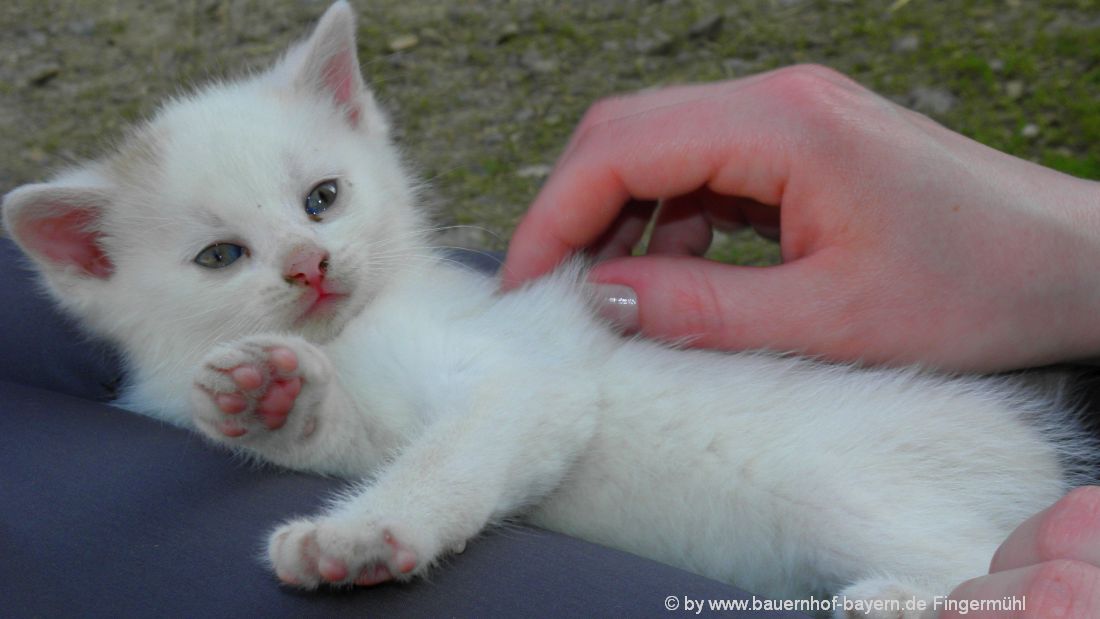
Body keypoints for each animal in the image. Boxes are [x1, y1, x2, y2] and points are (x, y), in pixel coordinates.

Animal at [4, 2, 1095, 615]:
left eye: (322, 197)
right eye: (221, 256)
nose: (311, 265)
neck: (358, 327)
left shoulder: (529, 372)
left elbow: (451, 457)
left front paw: (366, 534)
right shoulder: (372, 414)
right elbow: (354, 436)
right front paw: (266, 396)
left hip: (854, 483)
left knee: (978, 563)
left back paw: (894, 599)